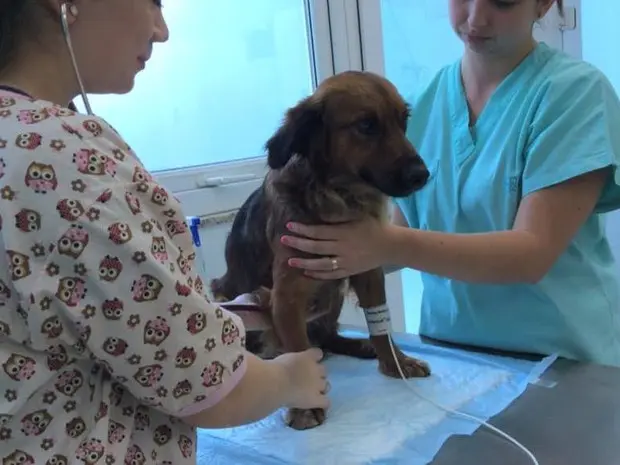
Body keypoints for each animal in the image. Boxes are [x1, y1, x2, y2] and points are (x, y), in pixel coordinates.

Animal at [211, 70, 428, 430]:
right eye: (366, 124)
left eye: (404, 120)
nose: (422, 175)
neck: (338, 196)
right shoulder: (286, 296)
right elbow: (299, 352)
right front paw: (306, 406)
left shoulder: (369, 272)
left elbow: (382, 329)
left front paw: (396, 361)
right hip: (230, 296)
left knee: (327, 338)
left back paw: (360, 345)